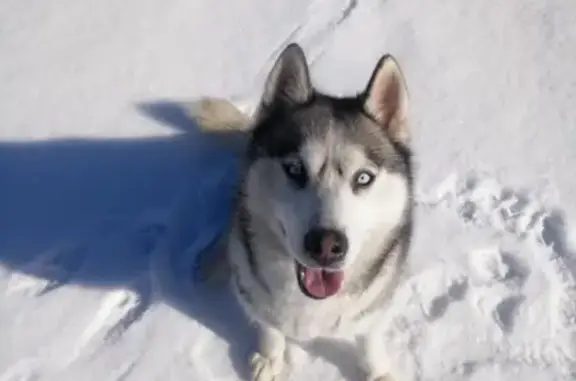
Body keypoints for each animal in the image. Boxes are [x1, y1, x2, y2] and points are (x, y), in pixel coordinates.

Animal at [191, 43, 412, 378]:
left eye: (363, 178)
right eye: (295, 169)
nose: (326, 245)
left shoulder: (377, 302)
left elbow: (370, 337)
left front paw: (377, 371)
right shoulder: (256, 296)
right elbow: (269, 326)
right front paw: (270, 358)